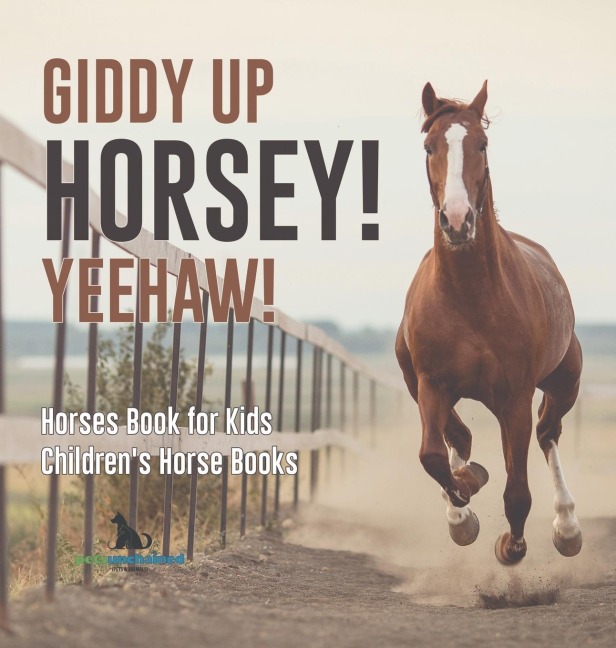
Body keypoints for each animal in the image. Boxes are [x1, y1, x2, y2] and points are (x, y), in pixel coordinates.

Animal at [395, 81, 583, 564]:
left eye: (481, 143)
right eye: (429, 146)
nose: (458, 220)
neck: (469, 299)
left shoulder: (515, 397)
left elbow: (517, 492)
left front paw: (511, 546)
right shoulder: (431, 384)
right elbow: (433, 455)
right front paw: (465, 503)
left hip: (563, 383)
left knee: (548, 434)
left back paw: (567, 527)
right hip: (416, 381)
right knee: (458, 437)